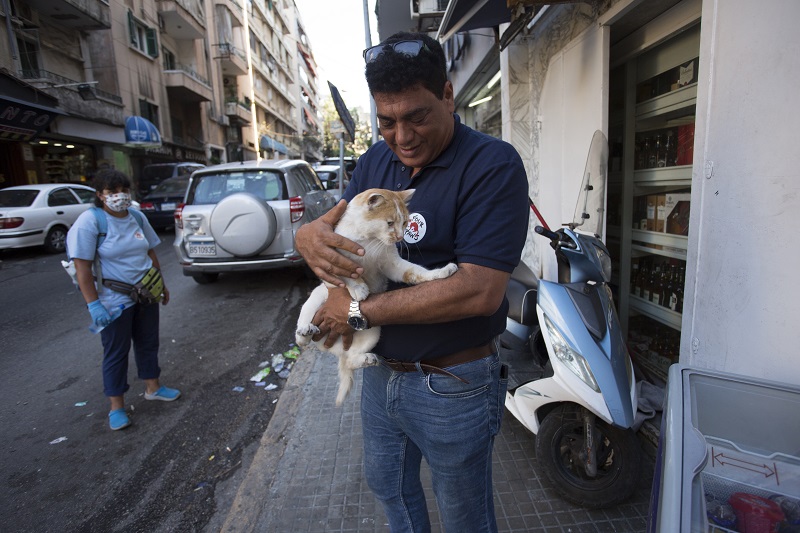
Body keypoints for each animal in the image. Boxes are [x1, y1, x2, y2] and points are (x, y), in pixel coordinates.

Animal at [294, 187, 456, 404]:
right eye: (390, 223)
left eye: (405, 223)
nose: (399, 237)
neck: (369, 241)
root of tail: (337, 347)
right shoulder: (331, 258)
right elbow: (348, 274)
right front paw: (358, 287)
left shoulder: (392, 264)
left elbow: (415, 272)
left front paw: (440, 273)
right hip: (318, 296)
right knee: (305, 325)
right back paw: (305, 331)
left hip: (374, 331)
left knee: (349, 360)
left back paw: (365, 358)